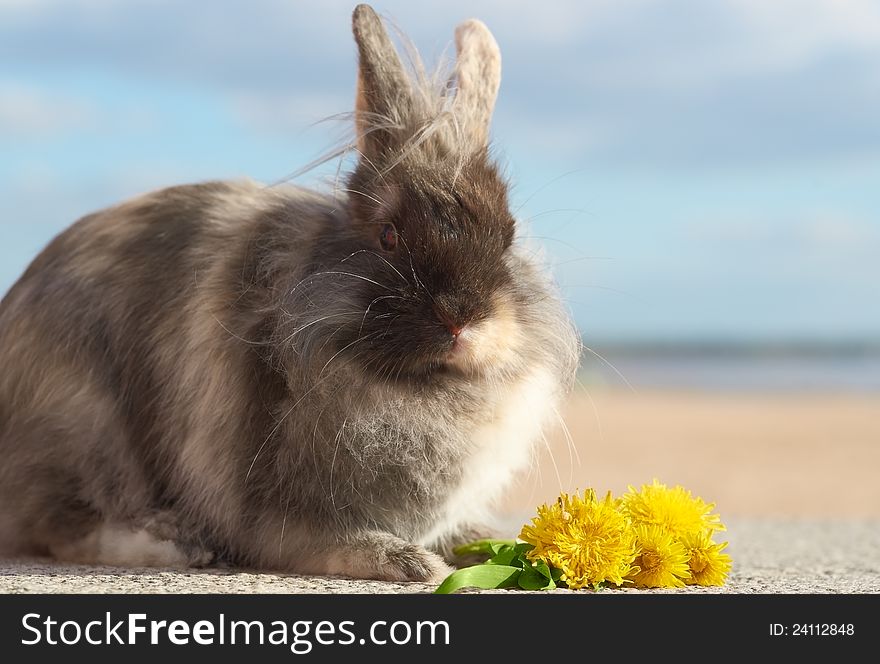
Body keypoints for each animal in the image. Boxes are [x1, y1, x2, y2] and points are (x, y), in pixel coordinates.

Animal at [0, 5, 580, 580]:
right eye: (388, 235)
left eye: (506, 236)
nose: (463, 319)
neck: (426, 389)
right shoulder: (279, 513)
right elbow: (329, 543)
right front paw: (412, 563)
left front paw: (498, 543)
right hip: (85, 428)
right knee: (64, 524)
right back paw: (175, 544)